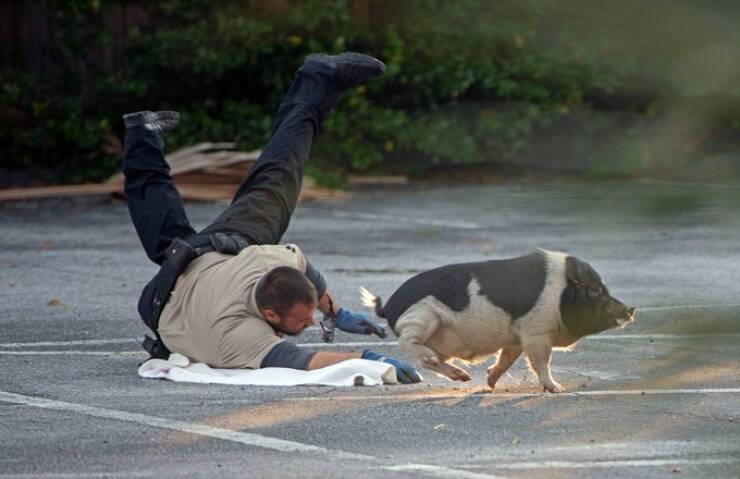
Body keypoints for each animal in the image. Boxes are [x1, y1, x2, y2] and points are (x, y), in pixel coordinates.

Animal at [360, 249, 636, 392]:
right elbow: (541, 362)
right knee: (412, 346)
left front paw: (490, 383)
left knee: (430, 362)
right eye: (595, 290)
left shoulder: (516, 337)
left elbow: (506, 360)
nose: (631, 309)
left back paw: (464, 378)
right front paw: (557, 389)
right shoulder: (536, 331)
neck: (560, 294)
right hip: (421, 317)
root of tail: (389, 307)